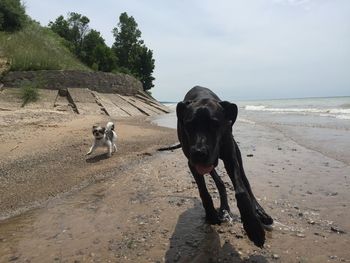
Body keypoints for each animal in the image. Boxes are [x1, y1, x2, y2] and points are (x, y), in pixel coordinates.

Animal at [176, 86, 272, 248]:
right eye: (188, 125)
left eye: (215, 125)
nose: (199, 152)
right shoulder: (192, 162)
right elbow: (204, 191)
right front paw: (210, 214)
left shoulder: (230, 157)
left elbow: (241, 190)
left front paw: (253, 227)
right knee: (219, 182)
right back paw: (223, 208)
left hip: (236, 153)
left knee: (245, 182)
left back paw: (259, 212)